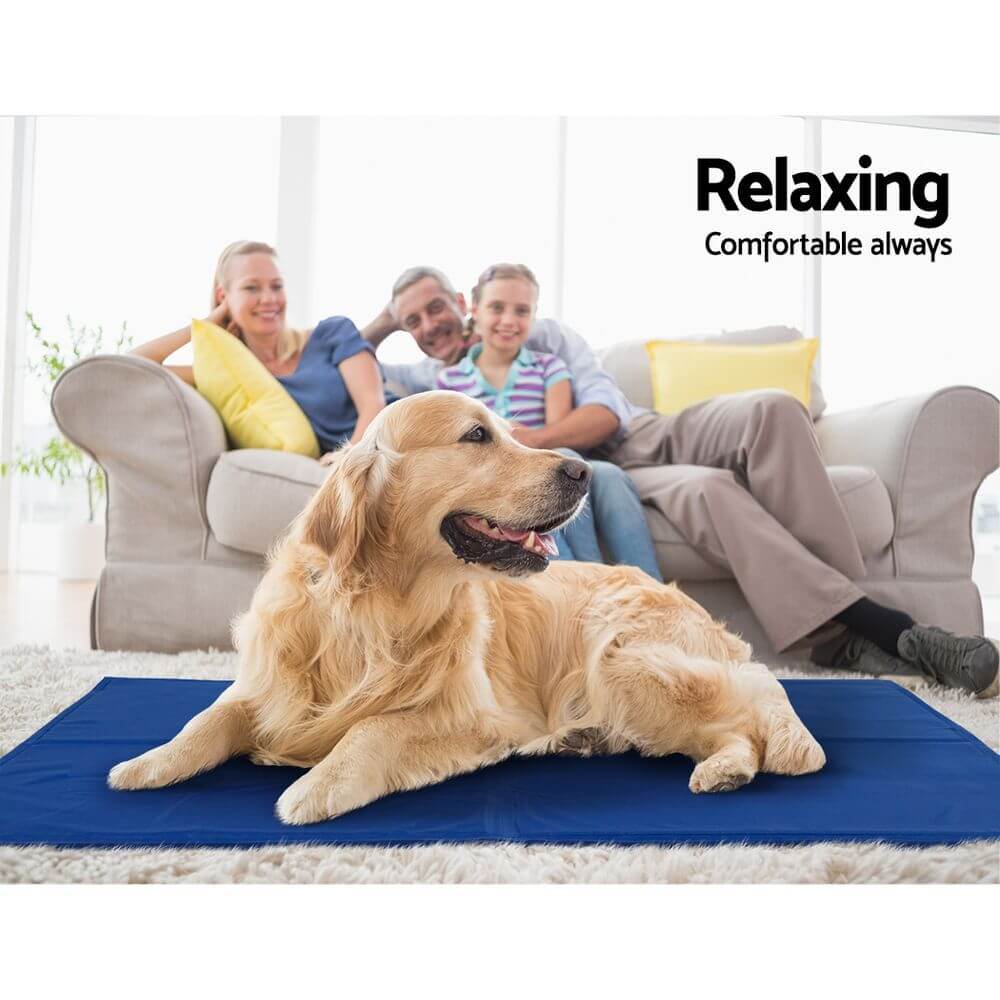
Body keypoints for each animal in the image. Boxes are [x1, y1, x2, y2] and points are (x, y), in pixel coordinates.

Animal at [111, 390, 828, 820]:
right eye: (477, 436)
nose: (581, 471)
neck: (377, 609)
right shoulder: (267, 686)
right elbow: (209, 717)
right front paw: (147, 763)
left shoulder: (475, 719)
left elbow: (376, 727)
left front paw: (316, 786)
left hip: (624, 658)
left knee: (754, 713)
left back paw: (726, 767)